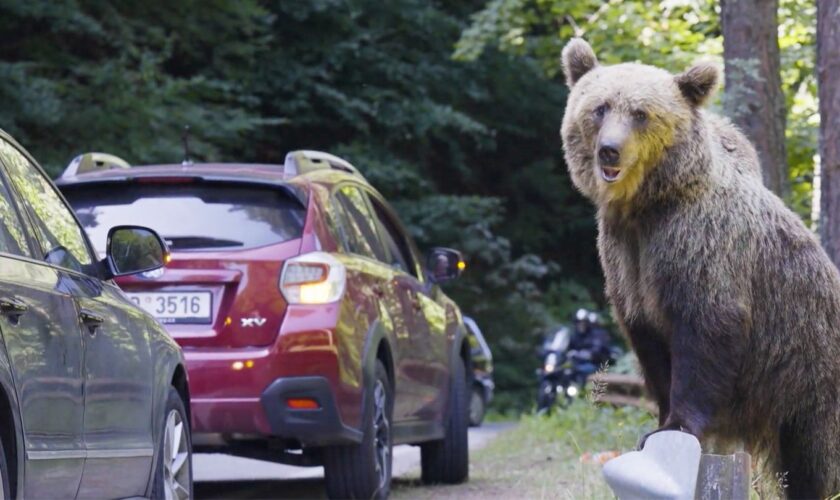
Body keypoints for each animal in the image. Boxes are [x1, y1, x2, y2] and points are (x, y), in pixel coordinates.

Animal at [560, 37, 840, 498]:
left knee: (815, 461)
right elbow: (650, 343)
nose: (609, 150)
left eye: (641, 113)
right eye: (600, 107)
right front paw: (657, 420)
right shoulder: (626, 261)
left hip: (810, 375)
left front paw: (678, 424)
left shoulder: (700, 245)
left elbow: (707, 329)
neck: (646, 207)